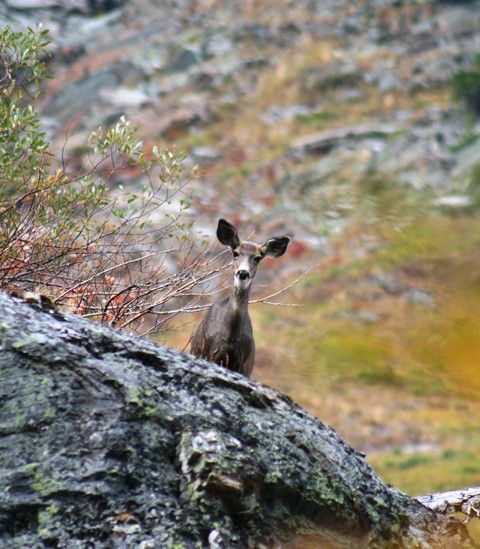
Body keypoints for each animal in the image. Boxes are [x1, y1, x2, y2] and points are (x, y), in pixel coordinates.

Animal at [190, 218, 288, 376]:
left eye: (258, 258)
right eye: (236, 253)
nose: (243, 273)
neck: (229, 338)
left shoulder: (243, 364)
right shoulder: (209, 353)